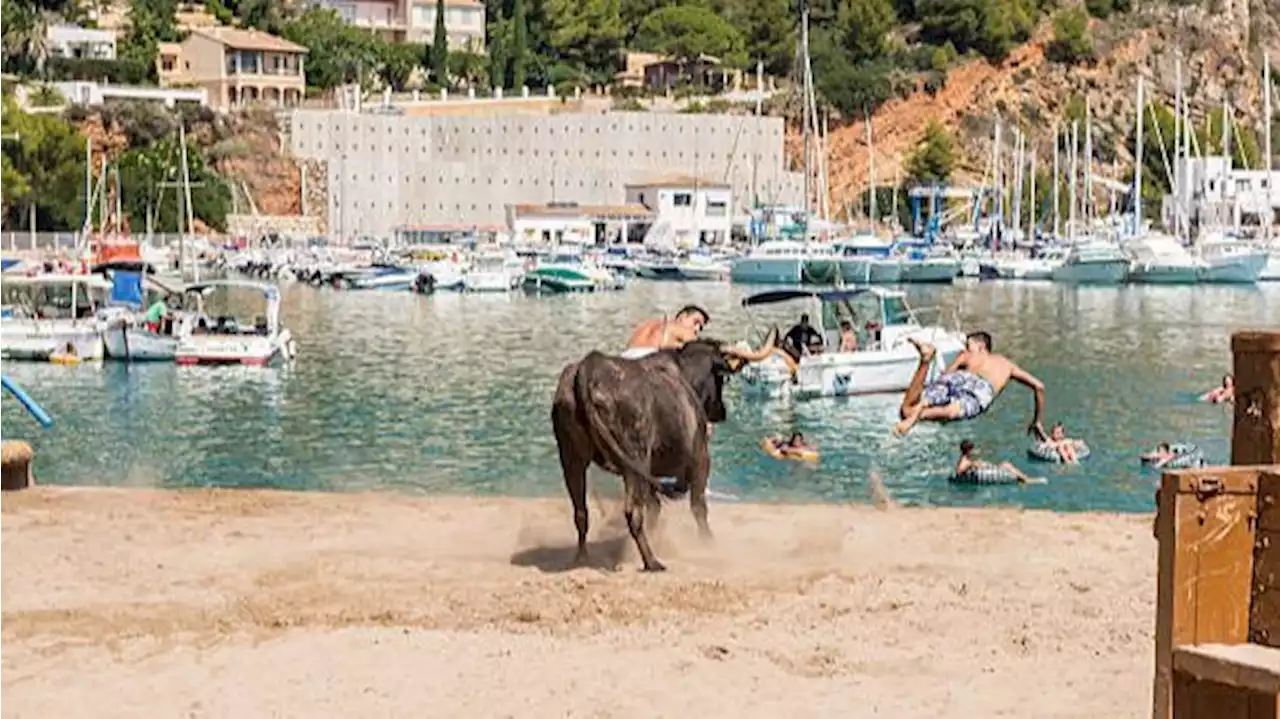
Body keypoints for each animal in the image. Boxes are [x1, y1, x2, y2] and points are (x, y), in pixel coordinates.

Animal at [545, 330, 773, 570]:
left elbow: (655, 508)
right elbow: (698, 506)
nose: (721, 412)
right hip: (634, 460)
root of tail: (589, 367)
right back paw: (651, 561)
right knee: (633, 512)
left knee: (581, 512)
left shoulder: (651, 474)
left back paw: (582, 557)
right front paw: (708, 542)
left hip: (572, 459)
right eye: (722, 378)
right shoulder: (700, 457)